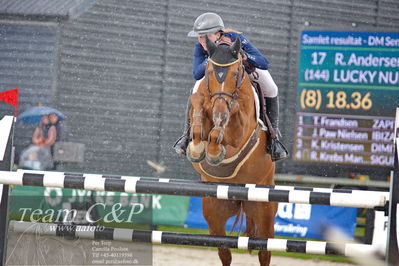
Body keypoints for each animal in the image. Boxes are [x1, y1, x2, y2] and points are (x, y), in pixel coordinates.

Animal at [187, 35, 278, 266]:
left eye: (236, 73)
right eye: (210, 71)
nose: (221, 103)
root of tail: (240, 196)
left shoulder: (241, 131)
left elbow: (230, 117)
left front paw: (213, 149)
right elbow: (198, 104)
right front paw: (197, 148)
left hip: (264, 211)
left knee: (265, 251)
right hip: (214, 212)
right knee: (224, 251)